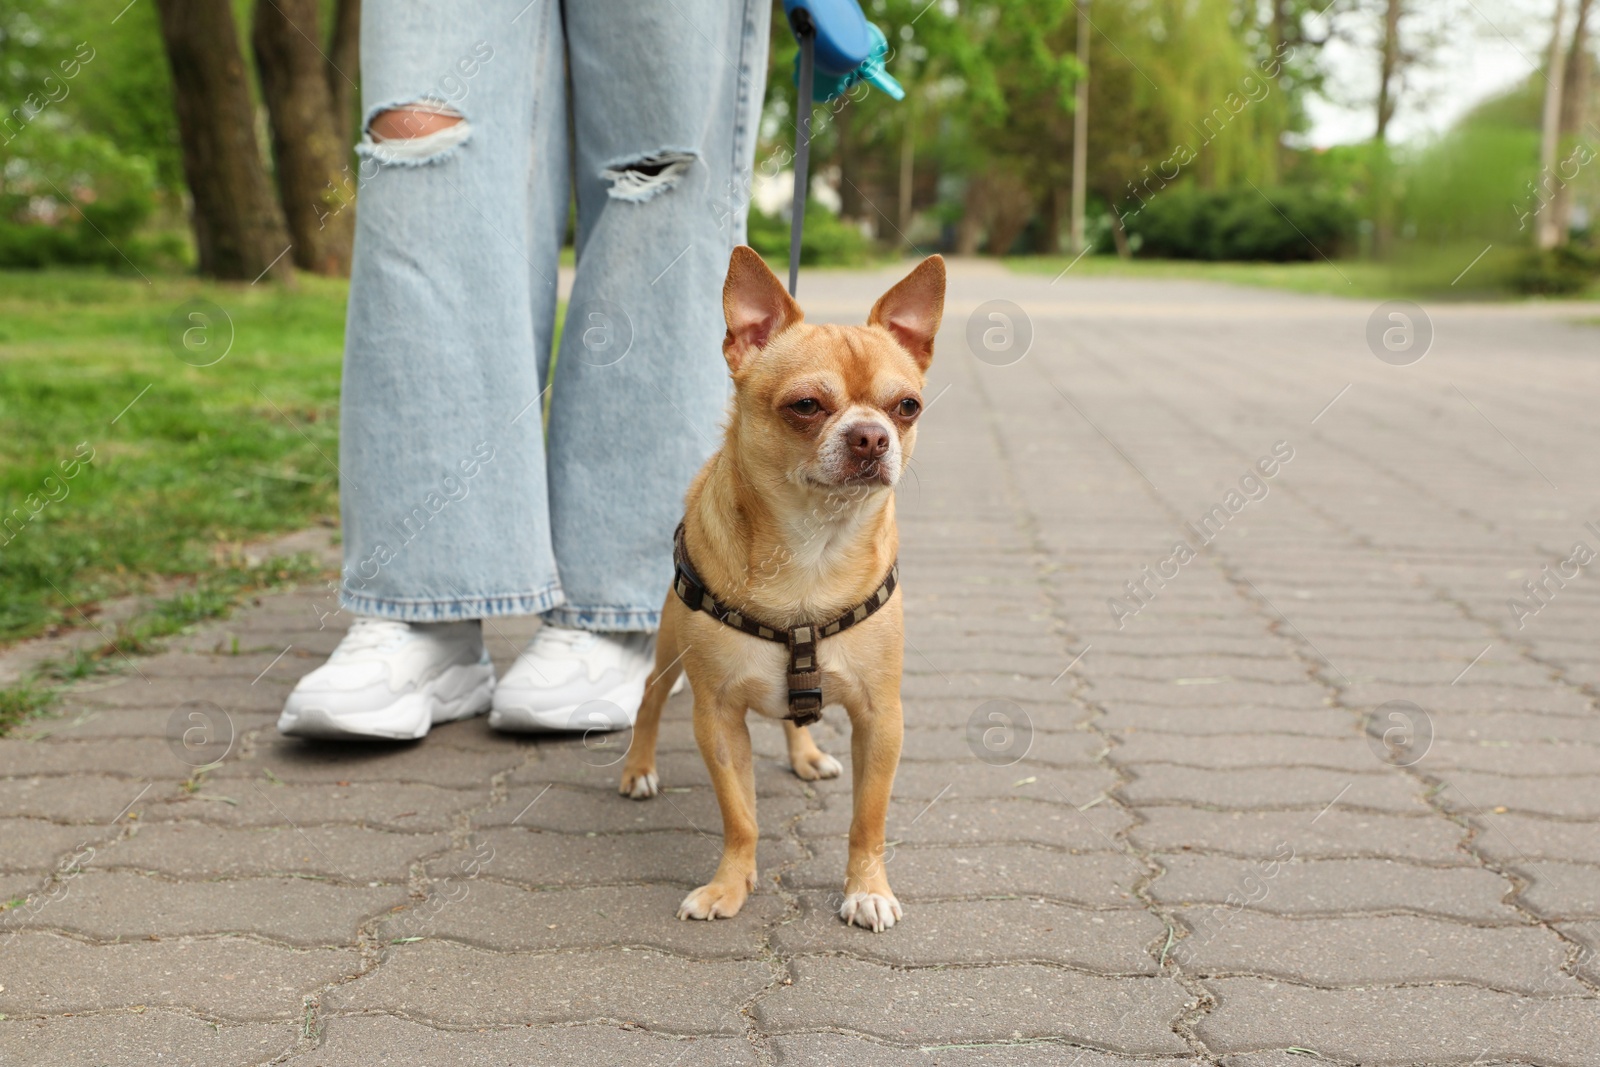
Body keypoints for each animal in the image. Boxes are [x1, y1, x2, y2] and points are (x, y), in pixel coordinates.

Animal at [614, 246, 940, 927]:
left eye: (907, 406)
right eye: (806, 406)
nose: (872, 435)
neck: (812, 553)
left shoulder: (882, 719)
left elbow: (868, 820)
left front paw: (867, 888)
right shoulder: (716, 719)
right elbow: (740, 816)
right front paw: (729, 885)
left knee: (796, 714)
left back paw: (806, 753)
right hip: (668, 648)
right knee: (650, 699)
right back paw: (638, 768)